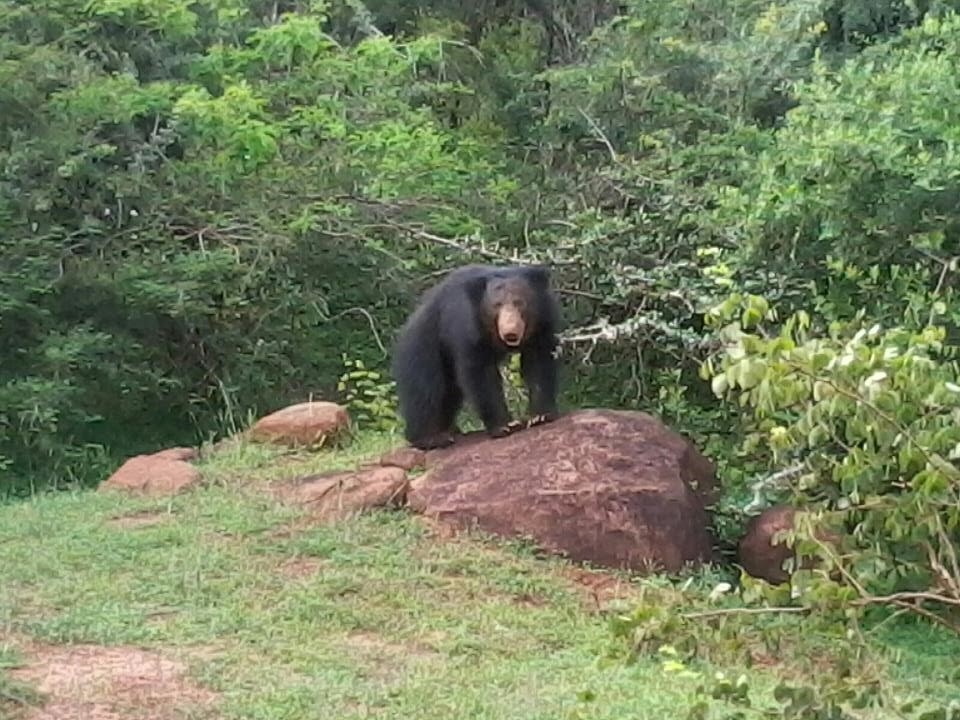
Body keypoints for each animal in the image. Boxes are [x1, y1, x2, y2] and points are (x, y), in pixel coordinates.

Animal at [391, 263, 562, 451]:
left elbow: (539, 361)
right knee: (425, 388)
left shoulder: (543, 323)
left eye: (519, 302)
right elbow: (480, 372)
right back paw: (432, 437)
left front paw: (540, 416)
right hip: (424, 346)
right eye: (496, 305)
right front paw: (505, 425)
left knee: (448, 393)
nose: (510, 331)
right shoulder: (467, 324)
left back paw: (450, 430)